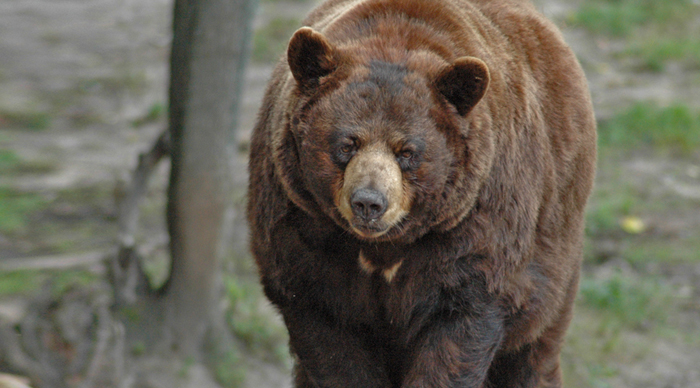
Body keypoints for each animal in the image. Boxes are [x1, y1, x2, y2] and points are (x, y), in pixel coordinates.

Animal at [246, 0, 596, 386]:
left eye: (407, 151)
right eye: (346, 144)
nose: (369, 202)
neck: (384, 247)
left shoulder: (473, 228)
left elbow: (460, 327)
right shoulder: (302, 229)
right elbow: (328, 334)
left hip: (554, 251)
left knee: (533, 350)